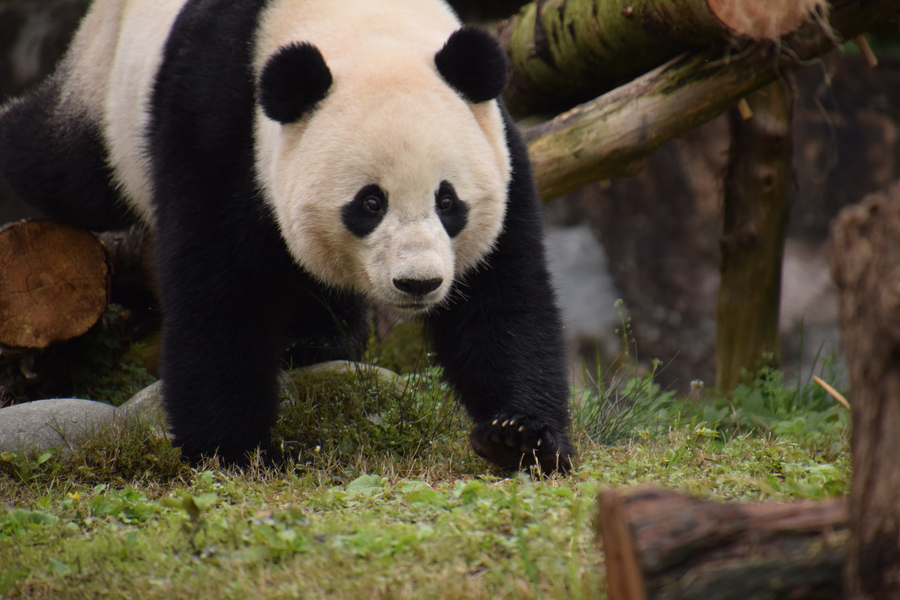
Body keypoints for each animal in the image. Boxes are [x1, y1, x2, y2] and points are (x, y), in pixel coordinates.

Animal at [0, 0, 576, 474]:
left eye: (448, 202)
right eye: (370, 203)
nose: (418, 284)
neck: (365, 25)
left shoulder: (499, 150)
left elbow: (503, 300)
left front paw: (519, 437)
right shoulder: (220, 121)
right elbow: (220, 290)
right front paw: (236, 451)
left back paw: (316, 340)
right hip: (109, 90)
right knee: (60, 163)